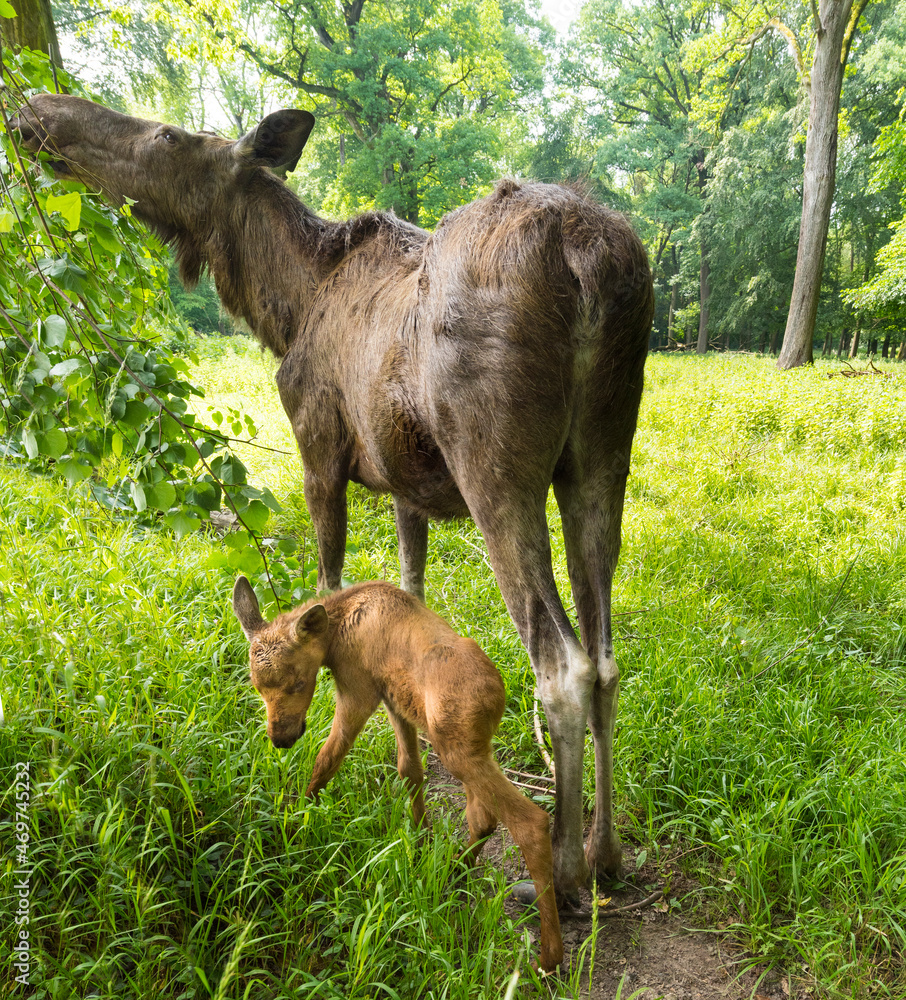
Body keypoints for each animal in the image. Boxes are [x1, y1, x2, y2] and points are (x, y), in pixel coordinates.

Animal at [14, 94, 654, 908]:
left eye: (169, 135)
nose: (37, 112)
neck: (283, 305)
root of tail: (589, 257)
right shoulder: (408, 486)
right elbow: (410, 598)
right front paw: (411, 766)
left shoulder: (317, 447)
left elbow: (326, 591)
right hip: (601, 455)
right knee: (605, 660)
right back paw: (607, 854)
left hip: (495, 464)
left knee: (562, 665)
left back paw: (564, 874)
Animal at [231, 575, 564, 971]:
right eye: (256, 686)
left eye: (297, 682)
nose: (281, 738)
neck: (336, 631)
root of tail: (497, 696)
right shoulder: (395, 700)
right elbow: (410, 770)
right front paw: (420, 837)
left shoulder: (358, 689)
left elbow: (327, 759)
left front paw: (297, 821)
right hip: (472, 748)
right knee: (483, 817)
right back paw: (454, 868)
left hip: (457, 751)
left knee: (529, 821)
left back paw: (549, 955)